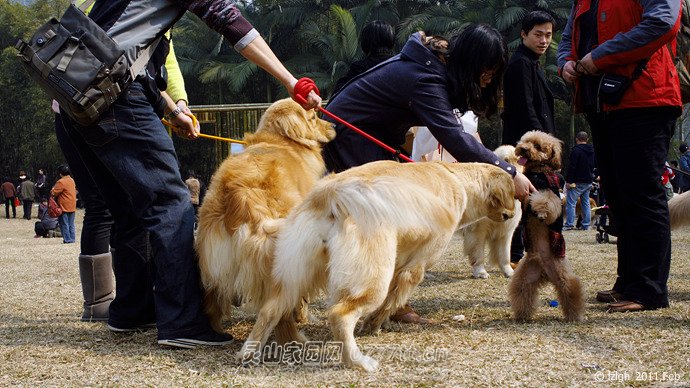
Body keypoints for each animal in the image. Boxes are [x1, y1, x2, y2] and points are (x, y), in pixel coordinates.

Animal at [508, 130, 584, 322]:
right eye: (524, 141)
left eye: (538, 146)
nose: (523, 149)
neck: (537, 172)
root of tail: (545, 271)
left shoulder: (552, 192)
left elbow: (545, 200)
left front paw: (541, 213)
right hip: (526, 277)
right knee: (523, 292)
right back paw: (522, 315)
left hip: (563, 275)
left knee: (570, 289)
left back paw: (574, 315)